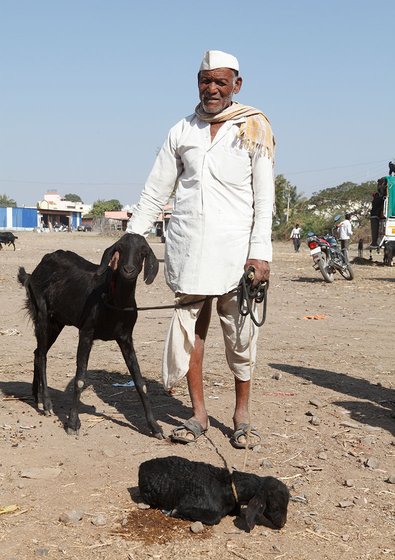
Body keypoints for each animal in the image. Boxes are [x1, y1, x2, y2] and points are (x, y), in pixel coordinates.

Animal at [17, 232, 163, 438]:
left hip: (58, 321)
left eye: (143, 252)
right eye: (120, 249)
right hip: (42, 315)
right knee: (43, 356)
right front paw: (72, 423)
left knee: (37, 352)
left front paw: (154, 427)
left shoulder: (125, 338)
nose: (128, 270)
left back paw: (36, 396)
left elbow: (140, 381)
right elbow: (79, 379)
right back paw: (47, 404)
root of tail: (33, 273)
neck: (112, 301)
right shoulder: (86, 333)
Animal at [138, 456, 290, 528]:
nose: (282, 523)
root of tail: (142, 466)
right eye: (275, 505)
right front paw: (172, 512)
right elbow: (214, 518)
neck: (227, 487)